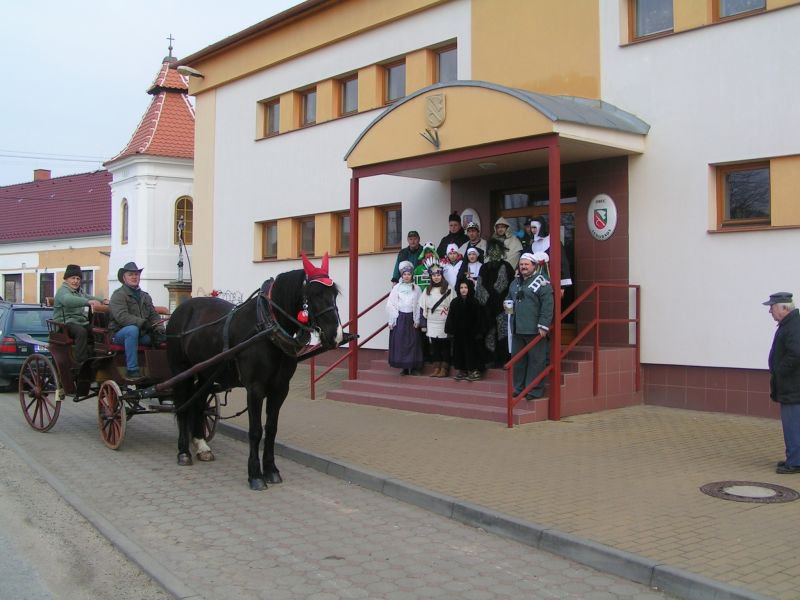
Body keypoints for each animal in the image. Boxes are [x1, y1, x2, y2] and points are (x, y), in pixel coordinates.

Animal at [166, 255, 344, 490]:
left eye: (334, 293)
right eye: (313, 294)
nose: (336, 336)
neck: (268, 328)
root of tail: (182, 308)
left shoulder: (280, 389)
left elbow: (271, 428)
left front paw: (271, 470)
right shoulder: (255, 388)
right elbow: (256, 430)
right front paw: (255, 475)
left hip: (206, 373)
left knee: (198, 403)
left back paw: (202, 446)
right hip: (181, 370)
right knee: (183, 406)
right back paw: (184, 452)